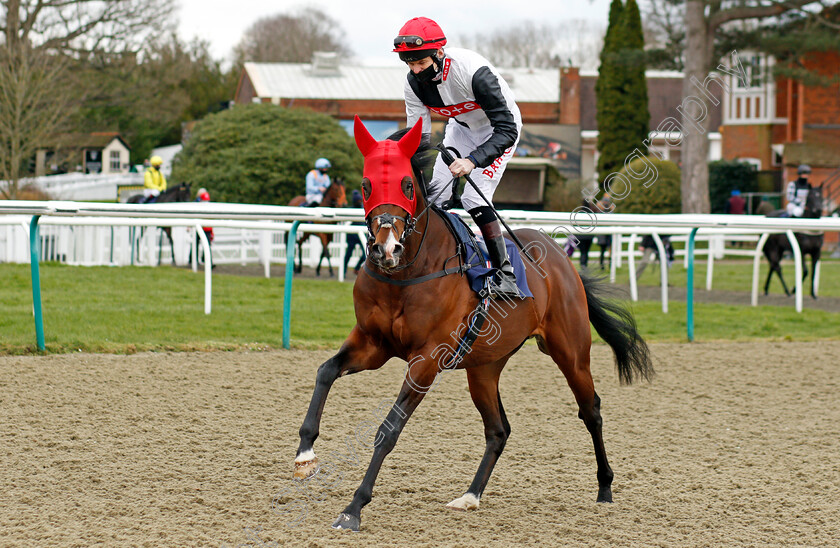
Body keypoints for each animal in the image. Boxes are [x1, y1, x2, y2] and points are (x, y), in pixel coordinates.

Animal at [296, 117, 656, 532]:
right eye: (367, 185)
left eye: (406, 185)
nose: (386, 249)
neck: (407, 273)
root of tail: (559, 256)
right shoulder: (372, 345)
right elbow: (325, 371)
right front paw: (305, 455)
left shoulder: (426, 360)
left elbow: (389, 428)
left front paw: (353, 507)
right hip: (484, 367)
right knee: (498, 430)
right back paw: (470, 495)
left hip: (571, 352)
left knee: (590, 411)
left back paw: (605, 487)